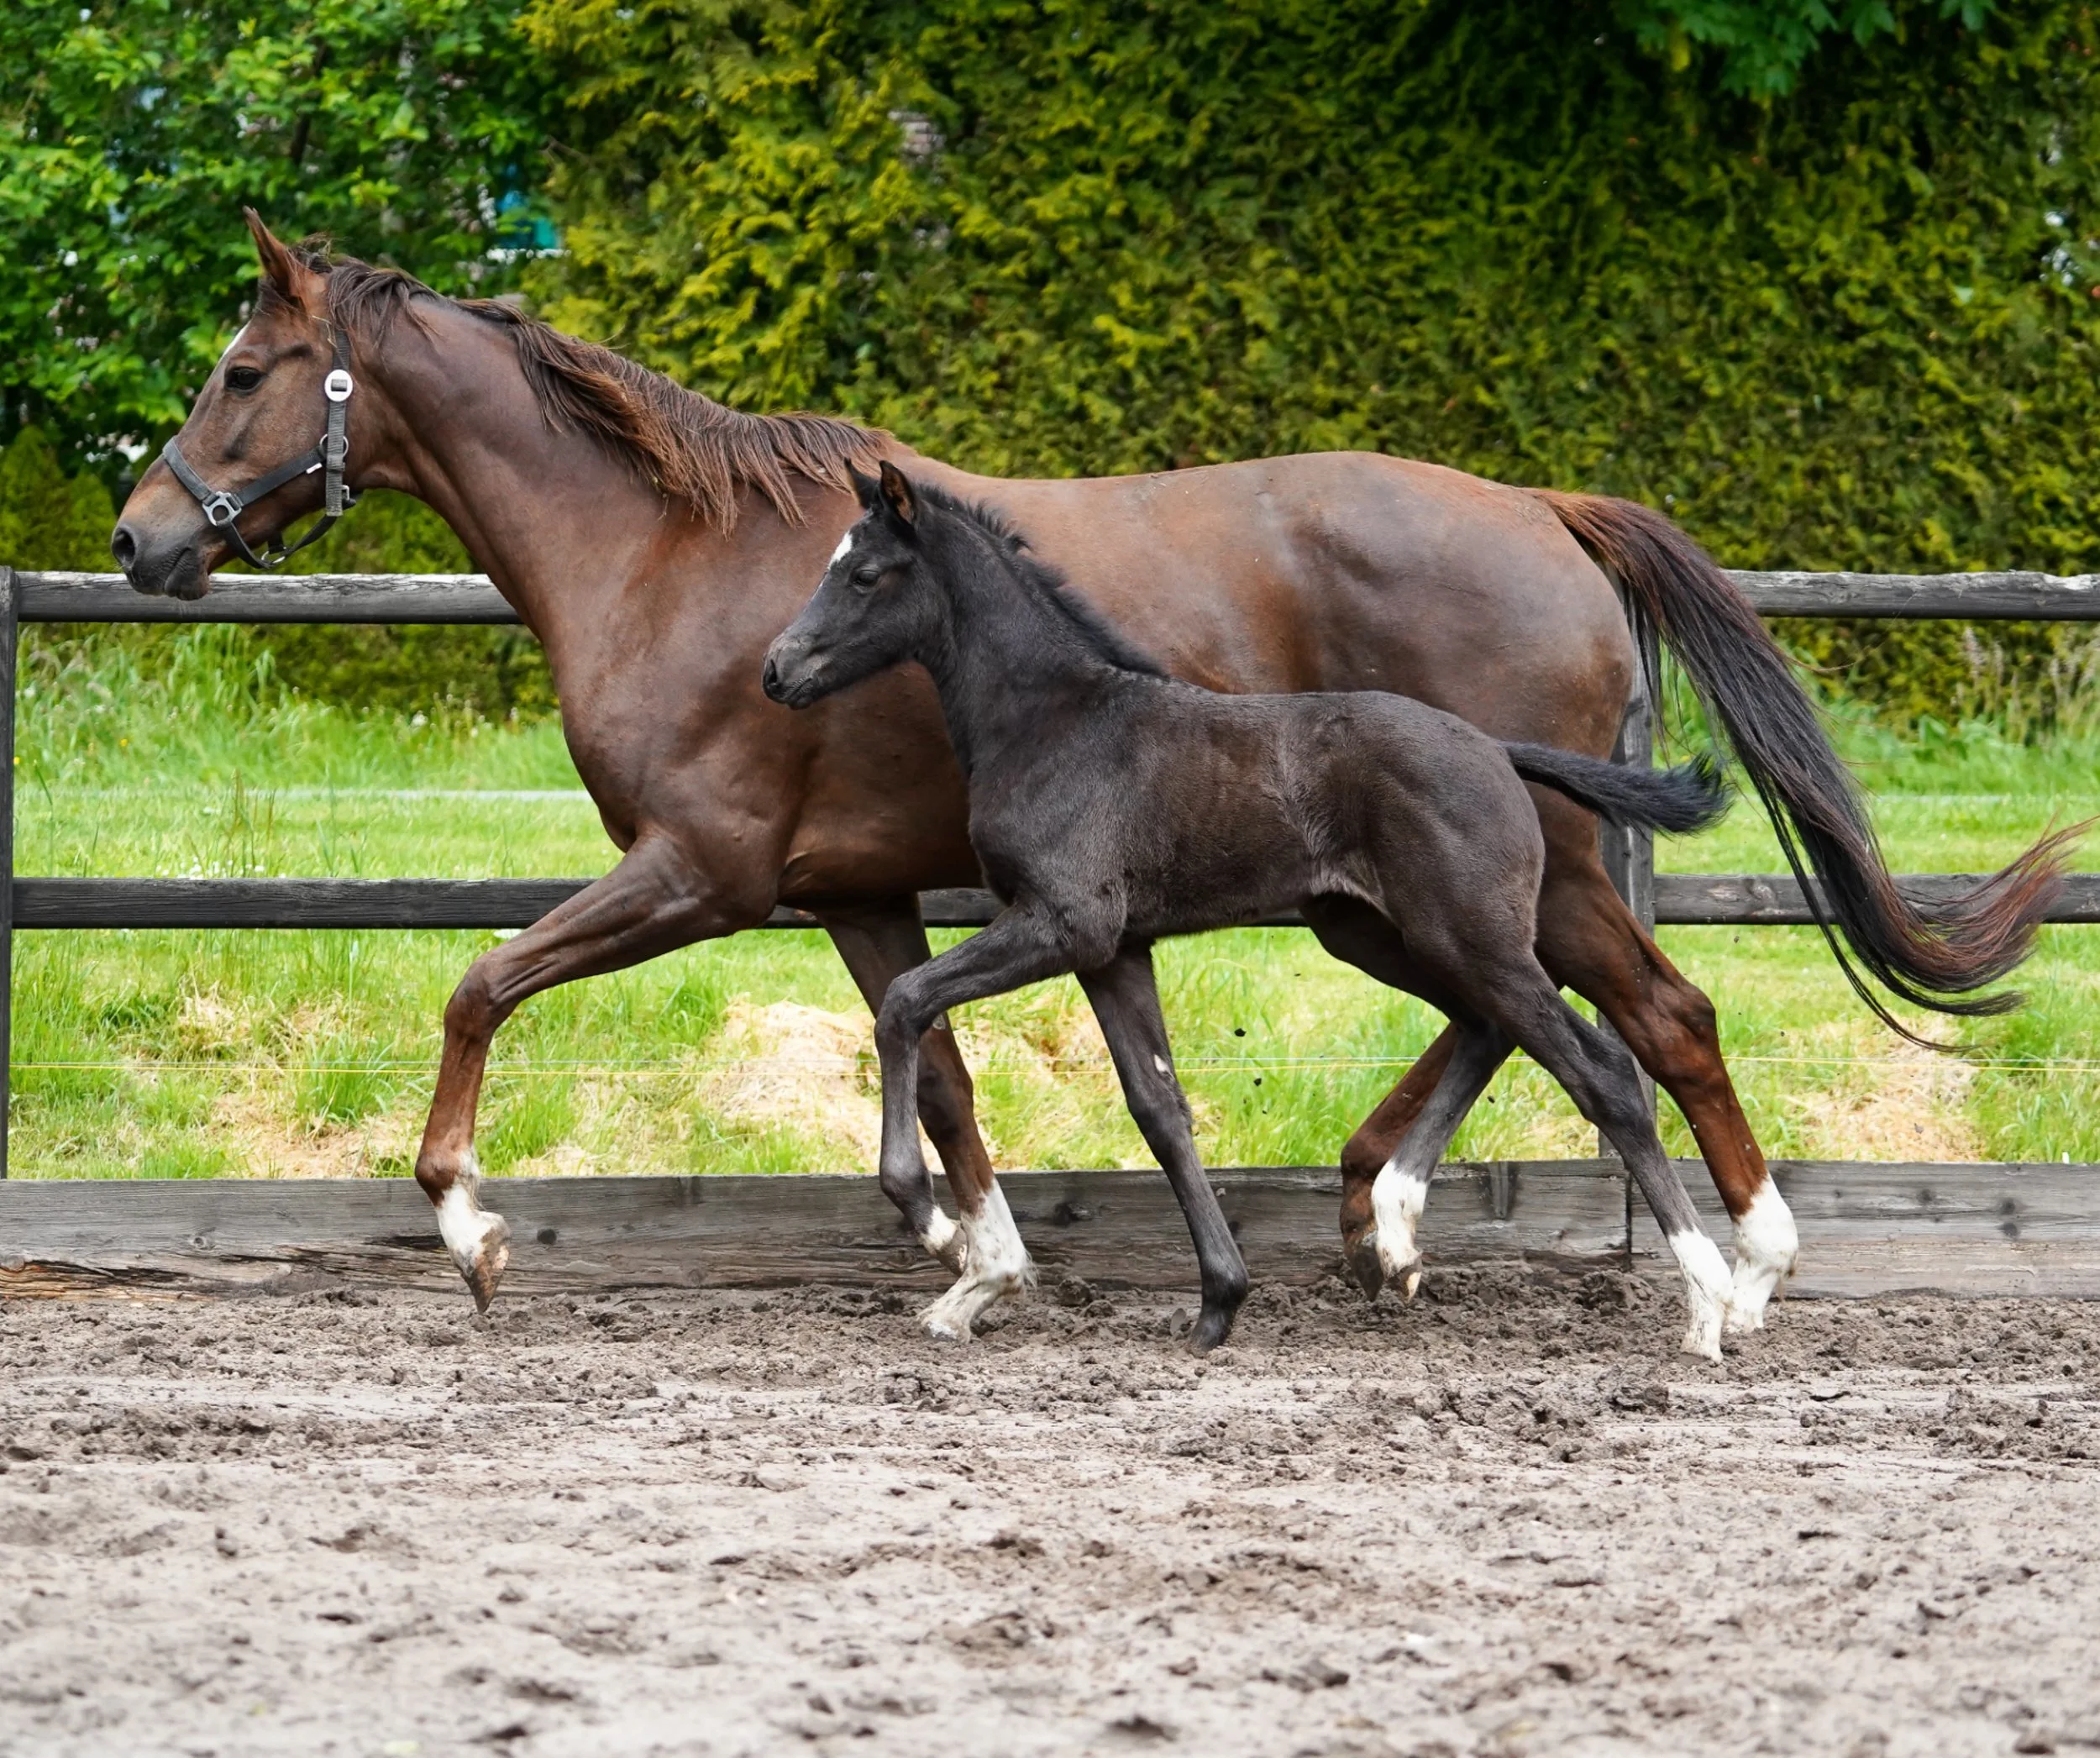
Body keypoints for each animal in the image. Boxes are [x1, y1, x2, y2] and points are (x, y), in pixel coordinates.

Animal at [764, 463, 1741, 1355]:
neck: (1056, 722)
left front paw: (928, 1218)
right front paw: (1218, 1302)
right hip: (1379, 932)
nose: (777, 669)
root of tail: (1497, 749)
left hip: (1466, 935)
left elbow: (904, 1002)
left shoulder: (1063, 922)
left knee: (1602, 1071)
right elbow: (1159, 1106)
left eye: (863, 574)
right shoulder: (1114, 949)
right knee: (1486, 1026)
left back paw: (1710, 1302)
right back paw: (1394, 1234)